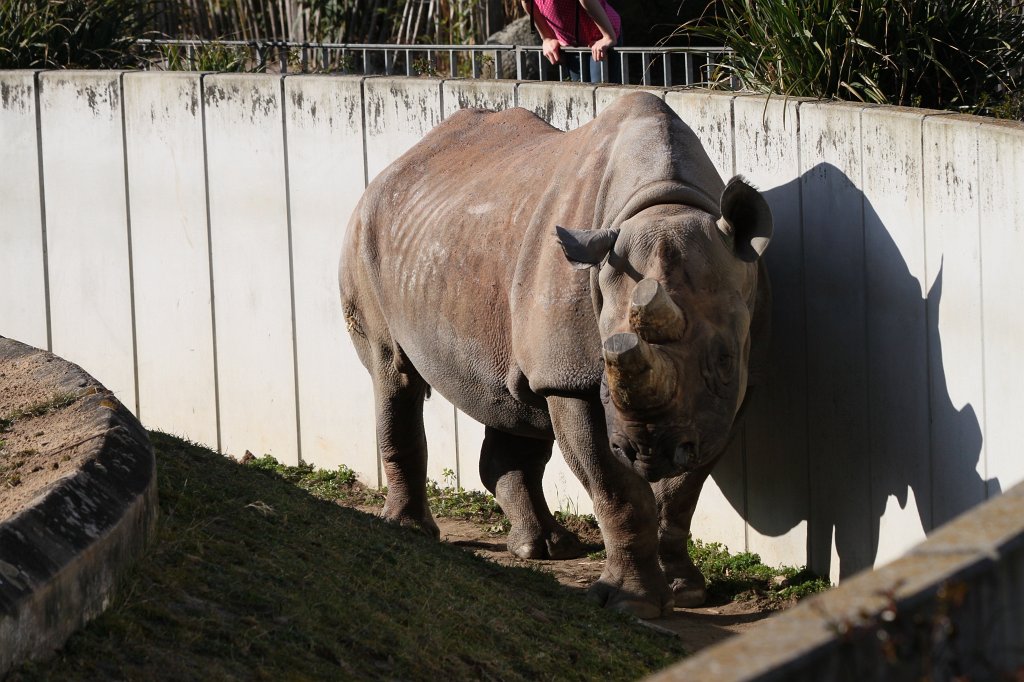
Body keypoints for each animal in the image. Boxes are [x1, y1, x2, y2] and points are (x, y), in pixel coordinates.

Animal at [340, 91, 772, 618]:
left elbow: (681, 492)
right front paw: (628, 603)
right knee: (394, 372)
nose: (646, 451)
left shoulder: (735, 391)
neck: (665, 200)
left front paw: (685, 591)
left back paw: (545, 547)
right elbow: (617, 492)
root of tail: (392, 167)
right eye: (604, 365)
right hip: (366, 237)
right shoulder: (571, 379)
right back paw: (412, 530)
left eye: (725, 360)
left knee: (511, 401)